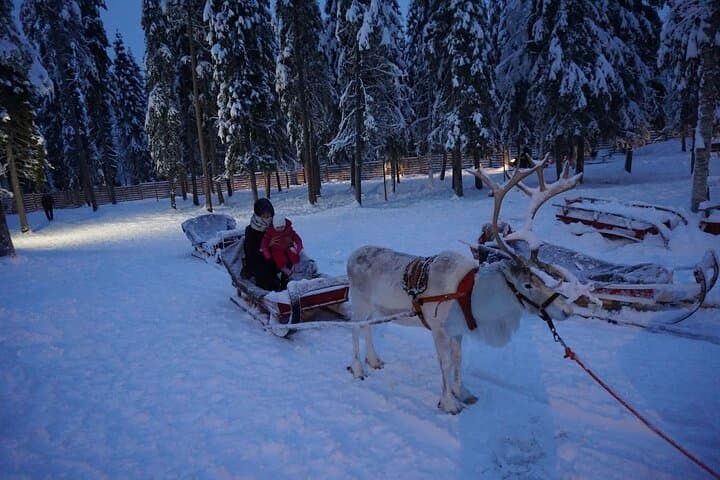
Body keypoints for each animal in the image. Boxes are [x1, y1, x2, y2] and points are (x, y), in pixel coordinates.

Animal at [346, 156, 583, 414]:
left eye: (541, 279)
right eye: (527, 284)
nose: (567, 309)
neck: (474, 297)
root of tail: (351, 257)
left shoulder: (458, 330)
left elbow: (458, 359)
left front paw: (463, 393)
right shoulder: (439, 329)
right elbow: (445, 363)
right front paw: (449, 402)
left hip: (374, 308)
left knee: (367, 327)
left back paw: (374, 360)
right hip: (358, 303)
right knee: (355, 328)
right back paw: (358, 369)